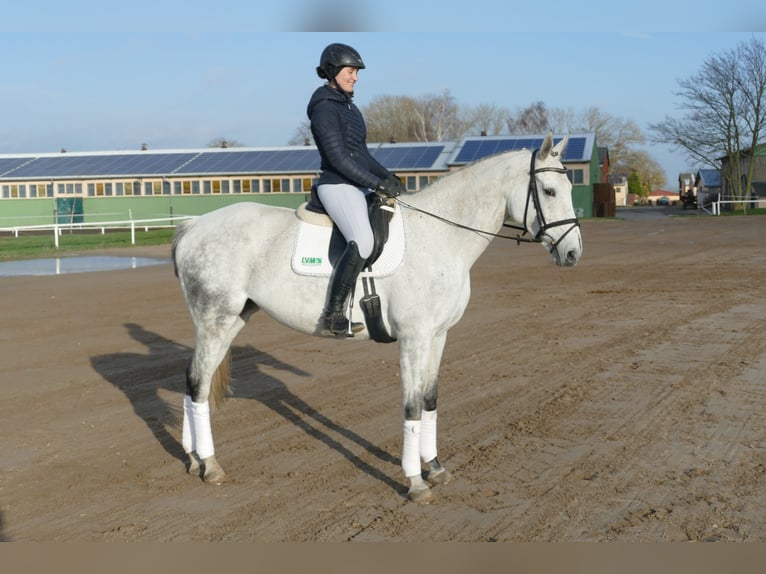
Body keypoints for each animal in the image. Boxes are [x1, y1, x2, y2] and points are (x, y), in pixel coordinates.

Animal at [172, 132, 584, 504]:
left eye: (569, 185)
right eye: (549, 191)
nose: (573, 254)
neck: (441, 235)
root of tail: (194, 227)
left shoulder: (438, 336)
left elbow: (430, 399)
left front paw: (435, 467)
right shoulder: (414, 338)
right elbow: (412, 405)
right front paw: (415, 482)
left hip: (232, 320)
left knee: (195, 381)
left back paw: (193, 460)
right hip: (214, 321)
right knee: (198, 384)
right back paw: (210, 465)